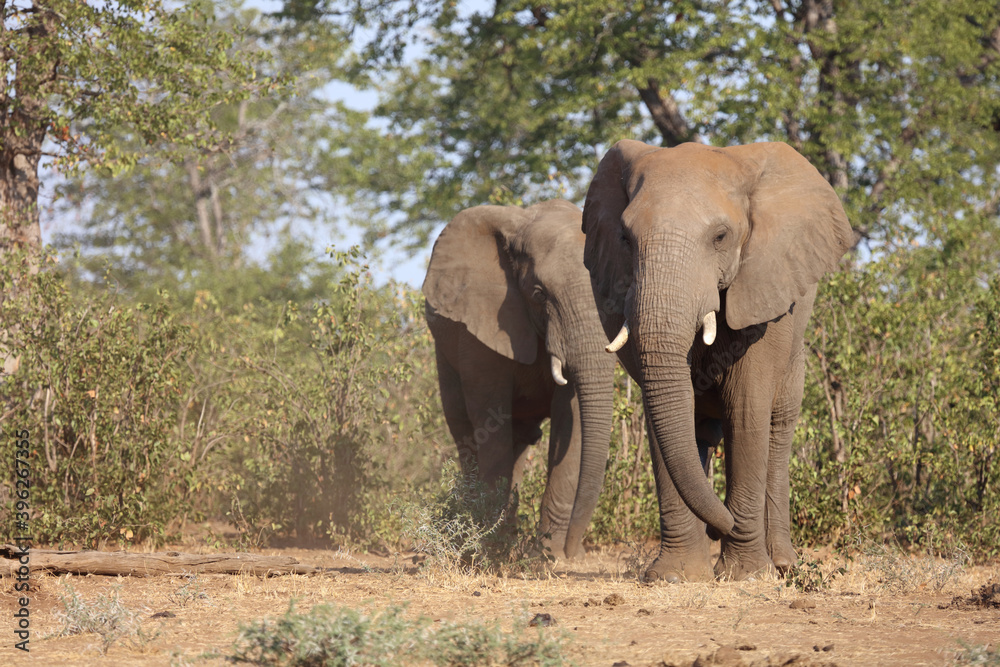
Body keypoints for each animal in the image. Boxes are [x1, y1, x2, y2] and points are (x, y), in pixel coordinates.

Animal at [422, 197, 616, 560]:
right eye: (539, 294)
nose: (575, 550)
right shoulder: (480, 327)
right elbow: (490, 420)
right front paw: (492, 549)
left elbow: (573, 421)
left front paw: (550, 557)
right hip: (444, 356)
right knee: (466, 434)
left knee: (520, 440)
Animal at [572, 142, 852, 584]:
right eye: (625, 238)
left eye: (721, 237)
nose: (722, 526)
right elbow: (667, 416)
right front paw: (675, 577)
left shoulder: (762, 291)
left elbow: (746, 409)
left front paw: (747, 575)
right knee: (699, 435)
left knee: (777, 429)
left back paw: (781, 565)